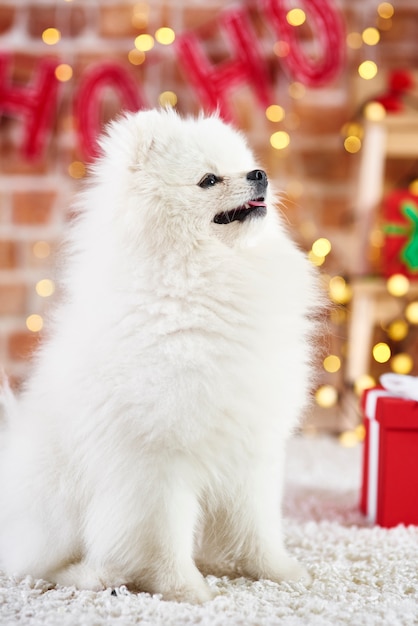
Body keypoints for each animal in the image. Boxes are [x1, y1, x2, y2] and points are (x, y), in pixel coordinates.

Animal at [0, 109, 322, 604]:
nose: (260, 174)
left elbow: (257, 528)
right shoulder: (156, 464)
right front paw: (187, 591)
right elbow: (163, 538)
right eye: (209, 179)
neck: (196, 283)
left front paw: (278, 573)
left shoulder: (250, 449)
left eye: (244, 164)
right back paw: (94, 576)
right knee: (37, 566)